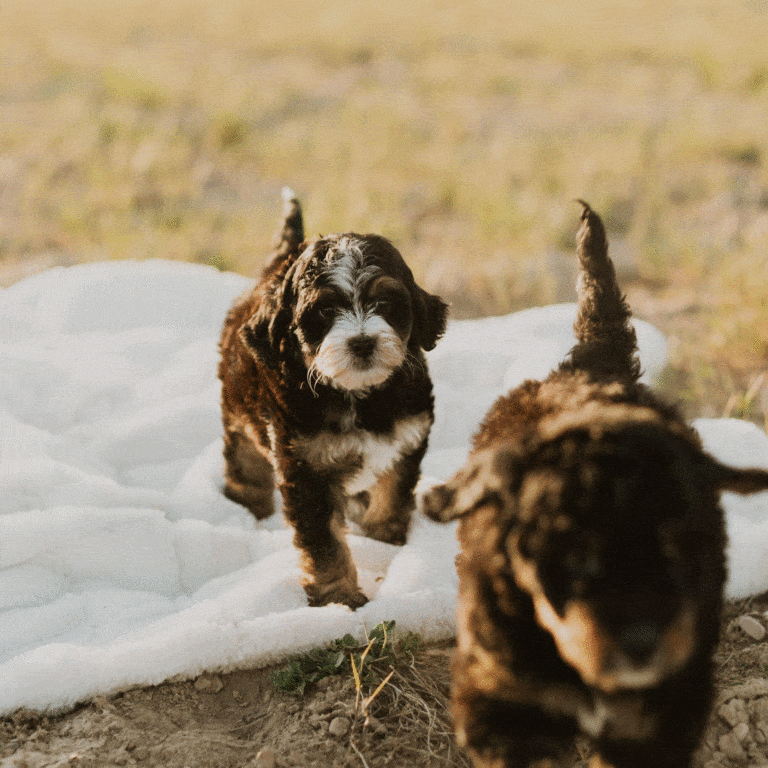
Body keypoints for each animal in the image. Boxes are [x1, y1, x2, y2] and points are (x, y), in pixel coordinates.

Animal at [219, 189, 448, 608]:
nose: (362, 342)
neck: (360, 394)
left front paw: (385, 539)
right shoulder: (305, 467)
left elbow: (391, 496)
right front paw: (339, 598)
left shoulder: (406, 440)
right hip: (238, 410)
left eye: (385, 304)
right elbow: (324, 541)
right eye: (325, 310)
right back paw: (249, 504)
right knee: (243, 460)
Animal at [424, 202, 768, 768]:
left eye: (679, 548)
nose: (641, 643)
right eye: (574, 557)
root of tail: (592, 364)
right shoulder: (505, 698)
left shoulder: (665, 706)